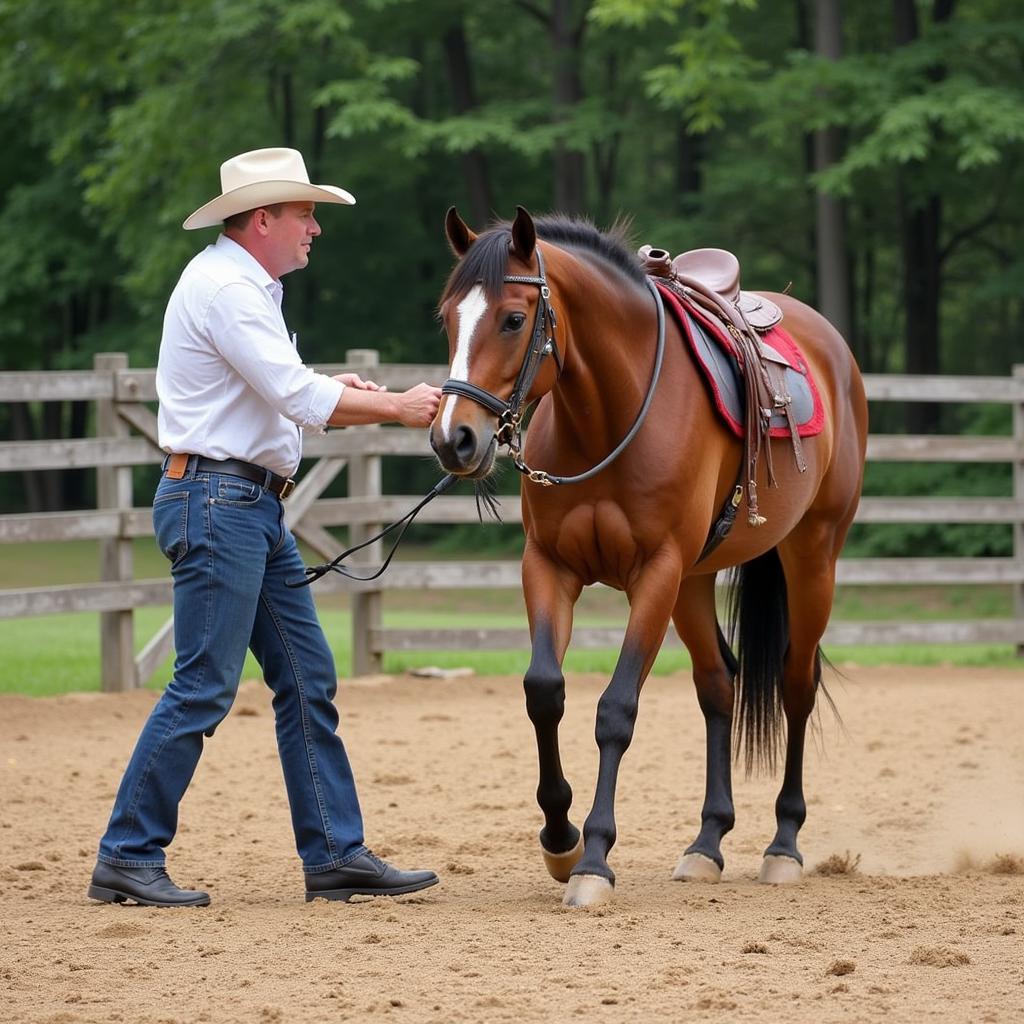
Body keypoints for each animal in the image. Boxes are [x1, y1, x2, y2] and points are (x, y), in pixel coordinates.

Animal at [428, 205, 868, 905]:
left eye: (514, 319)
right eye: (448, 318)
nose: (454, 439)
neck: (609, 413)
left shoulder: (655, 574)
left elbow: (616, 710)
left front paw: (593, 859)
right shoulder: (549, 567)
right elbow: (543, 691)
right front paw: (560, 838)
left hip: (811, 557)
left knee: (796, 685)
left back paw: (783, 844)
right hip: (694, 582)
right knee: (718, 684)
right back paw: (707, 843)